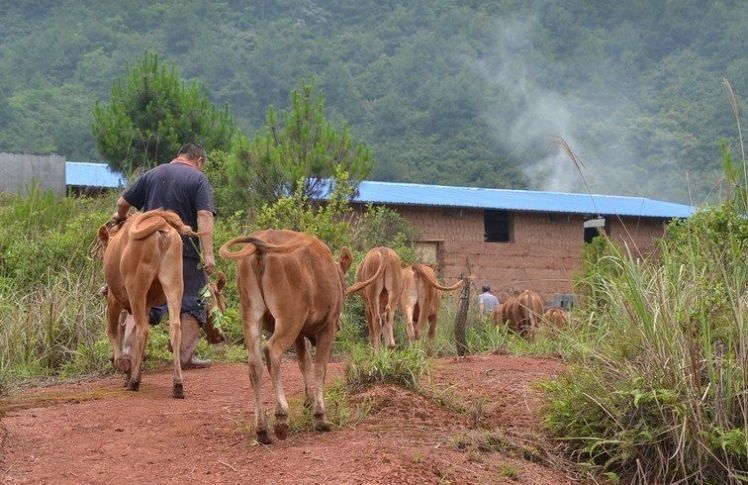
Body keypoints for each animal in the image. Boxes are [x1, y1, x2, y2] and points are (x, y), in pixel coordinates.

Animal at [98, 209, 200, 398]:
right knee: (175, 328)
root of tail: (161, 227)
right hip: (174, 283)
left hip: (136, 288)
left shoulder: (114, 300)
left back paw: (134, 382)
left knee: (143, 330)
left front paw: (122, 364)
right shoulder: (146, 305)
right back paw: (177, 384)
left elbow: (112, 331)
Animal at [216, 229, 380, 444]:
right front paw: (319, 415)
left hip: (251, 315)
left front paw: (307, 403)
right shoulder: (326, 327)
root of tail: (260, 248)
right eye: (344, 289)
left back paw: (262, 428)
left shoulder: (300, 333)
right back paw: (281, 417)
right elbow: (320, 368)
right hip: (289, 318)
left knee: (254, 364)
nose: (340, 326)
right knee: (272, 351)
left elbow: (304, 364)